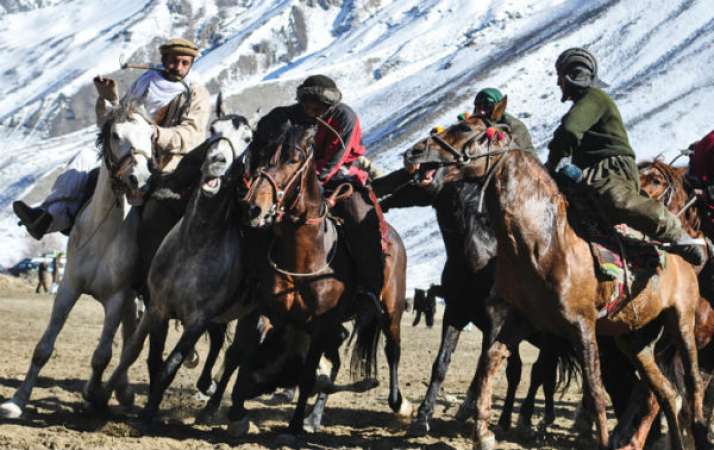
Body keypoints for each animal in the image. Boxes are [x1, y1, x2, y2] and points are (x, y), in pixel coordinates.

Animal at [0, 101, 154, 418]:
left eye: (151, 135)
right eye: (115, 135)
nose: (142, 180)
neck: (104, 233)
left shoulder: (118, 296)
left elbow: (102, 355)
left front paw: (93, 395)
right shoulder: (69, 286)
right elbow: (44, 348)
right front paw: (17, 400)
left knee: (126, 339)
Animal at [227, 125, 406, 442]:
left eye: (293, 159)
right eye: (262, 154)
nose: (253, 208)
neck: (306, 255)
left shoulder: (321, 325)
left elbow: (308, 374)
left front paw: (294, 427)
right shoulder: (271, 311)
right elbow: (248, 350)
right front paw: (237, 410)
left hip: (390, 311)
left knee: (392, 350)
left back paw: (397, 402)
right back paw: (314, 417)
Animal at [404, 113, 704, 450]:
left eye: (466, 128)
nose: (414, 153)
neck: (544, 240)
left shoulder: (581, 326)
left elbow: (593, 391)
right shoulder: (522, 320)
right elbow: (491, 362)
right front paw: (484, 433)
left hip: (681, 322)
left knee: (691, 385)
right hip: (633, 340)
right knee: (664, 392)